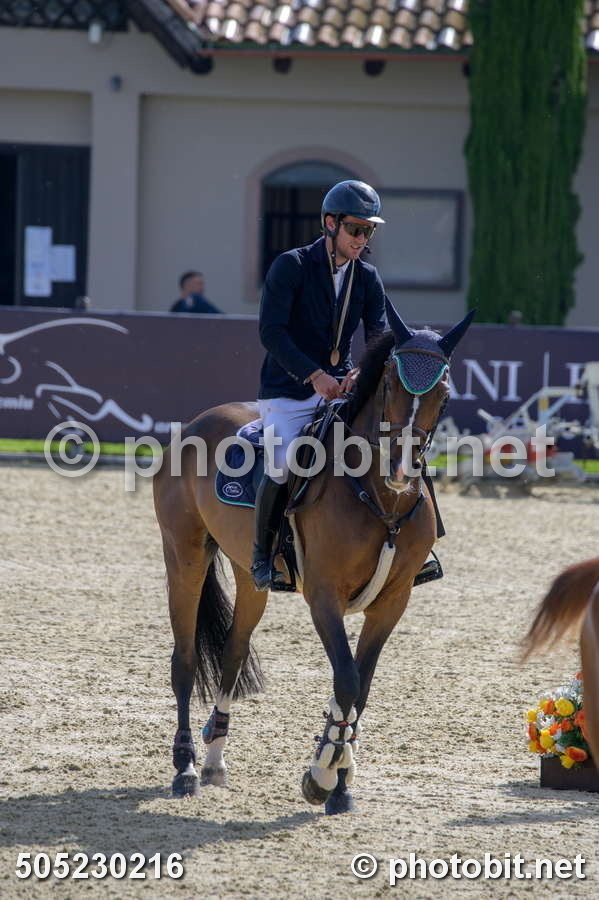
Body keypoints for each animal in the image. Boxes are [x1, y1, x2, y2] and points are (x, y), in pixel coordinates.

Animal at [153, 304, 475, 814]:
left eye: (443, 394)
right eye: (390, 384)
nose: (402, 469)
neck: (379, 497)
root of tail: (195, 425)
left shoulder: (393, 601)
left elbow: (361, 687)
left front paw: (340, 780)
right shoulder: (324, 596)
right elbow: (346, 679)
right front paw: (323, 774)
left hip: (249, 575)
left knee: (232, 654)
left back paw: (215, 760)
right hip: (183, 557)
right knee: (183, 660)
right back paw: (184, 768)